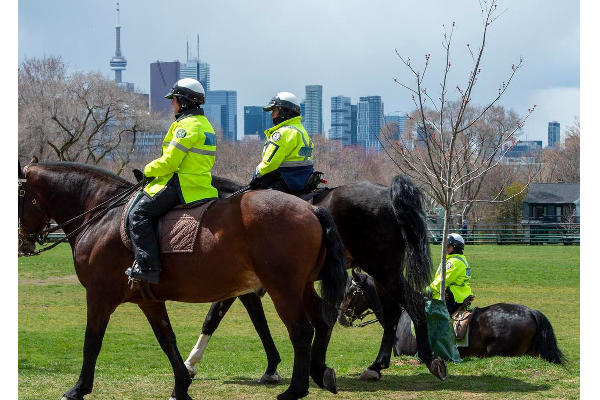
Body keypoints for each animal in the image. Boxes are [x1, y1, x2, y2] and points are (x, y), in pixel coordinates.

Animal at [17, 160, 346, 400]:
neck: (100, 216)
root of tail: (310, 207)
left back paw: (295, 390)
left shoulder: (99, 296)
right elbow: (167, 339)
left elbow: (92, 341)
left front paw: (78, 389)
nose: (23, 244)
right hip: (301, 288)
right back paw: (320, 372)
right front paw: (182, 384)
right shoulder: (148, 301)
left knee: (301, 331)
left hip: (283, 290)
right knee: (322, 321)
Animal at [173, 174, 446, 382]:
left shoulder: (242, 290)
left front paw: (190, 363)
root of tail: (388, 193)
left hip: (383, 269)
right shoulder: (244, 290)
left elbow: (216, 320)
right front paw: (272, 367)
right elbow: (255, 323)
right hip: (382, 273)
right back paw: (376, 366)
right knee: (391, 314)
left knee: (413, 303)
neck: (229, 213)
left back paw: (429, 358)